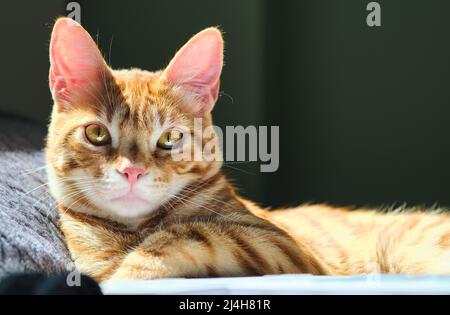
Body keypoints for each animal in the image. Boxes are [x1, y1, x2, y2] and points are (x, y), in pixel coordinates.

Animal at [45, 18, 450, 282]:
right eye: (97, 133)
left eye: (169, 139)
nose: (132, 171)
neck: (127, 235)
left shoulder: (277, 243)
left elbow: (182, 236)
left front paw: (127, 274)